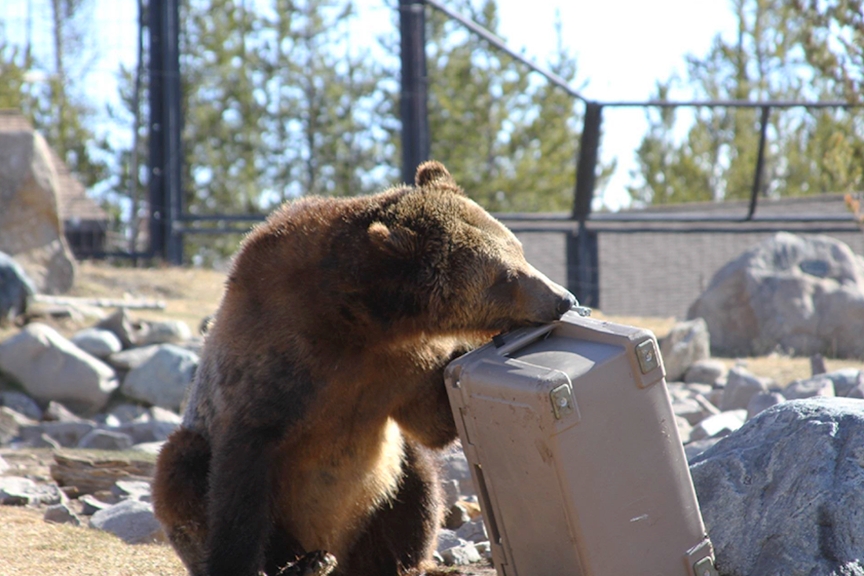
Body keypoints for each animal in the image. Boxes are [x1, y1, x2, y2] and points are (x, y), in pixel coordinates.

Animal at [152, 159, 576, 576]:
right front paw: (245, 562)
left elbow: (433, 423)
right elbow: (240, 482)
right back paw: (304, 562)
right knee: (180, 467)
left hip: (379, 502)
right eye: (504, 276)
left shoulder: (399, 370)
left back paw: (403, 563)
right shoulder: (273, 369)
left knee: (415, 484)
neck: (362, 321)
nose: (563, 299)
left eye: (519, 249)